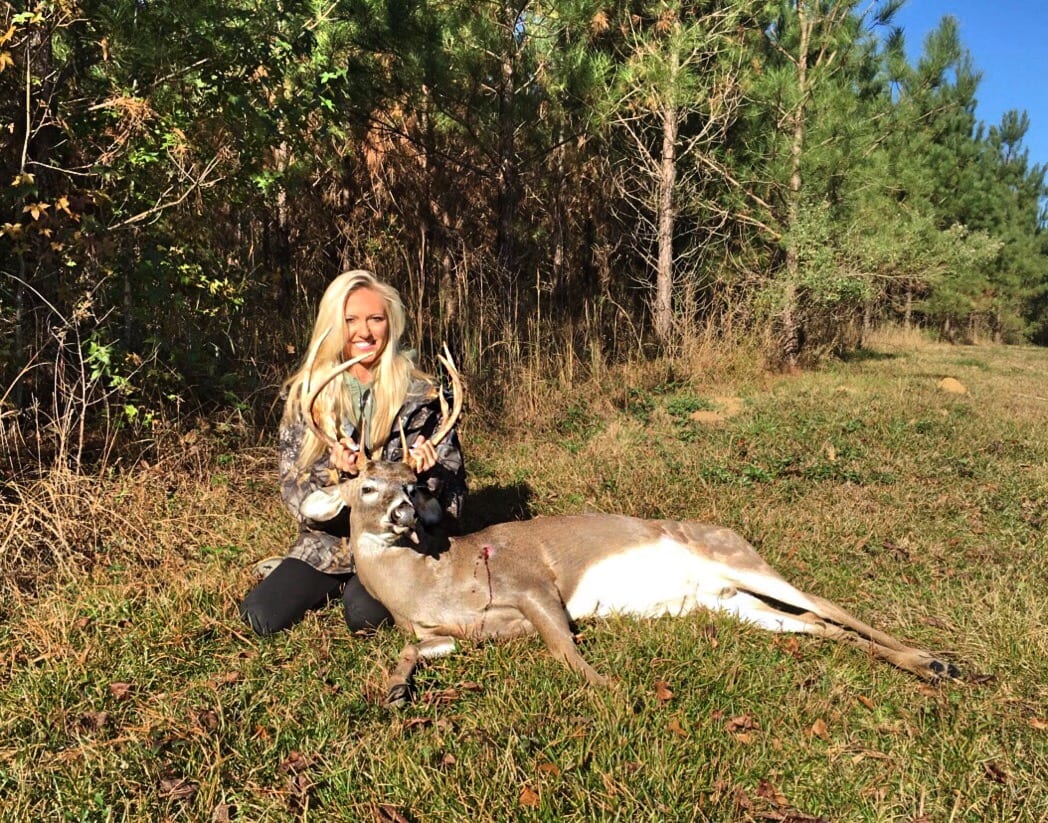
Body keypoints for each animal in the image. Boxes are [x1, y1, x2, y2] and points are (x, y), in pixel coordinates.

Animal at [297, 336, 960, 706]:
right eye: (366, 486)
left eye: (413, 483)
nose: (405, 510)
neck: (436, 582)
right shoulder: (452, 633)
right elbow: (410, 652)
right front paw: (393, 690)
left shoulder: (532, 585)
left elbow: (566, 649)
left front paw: (619, 694)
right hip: (727, 602)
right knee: (814, 625)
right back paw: (930, 665)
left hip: (739, 559)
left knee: (824, 603)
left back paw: (936, 661)